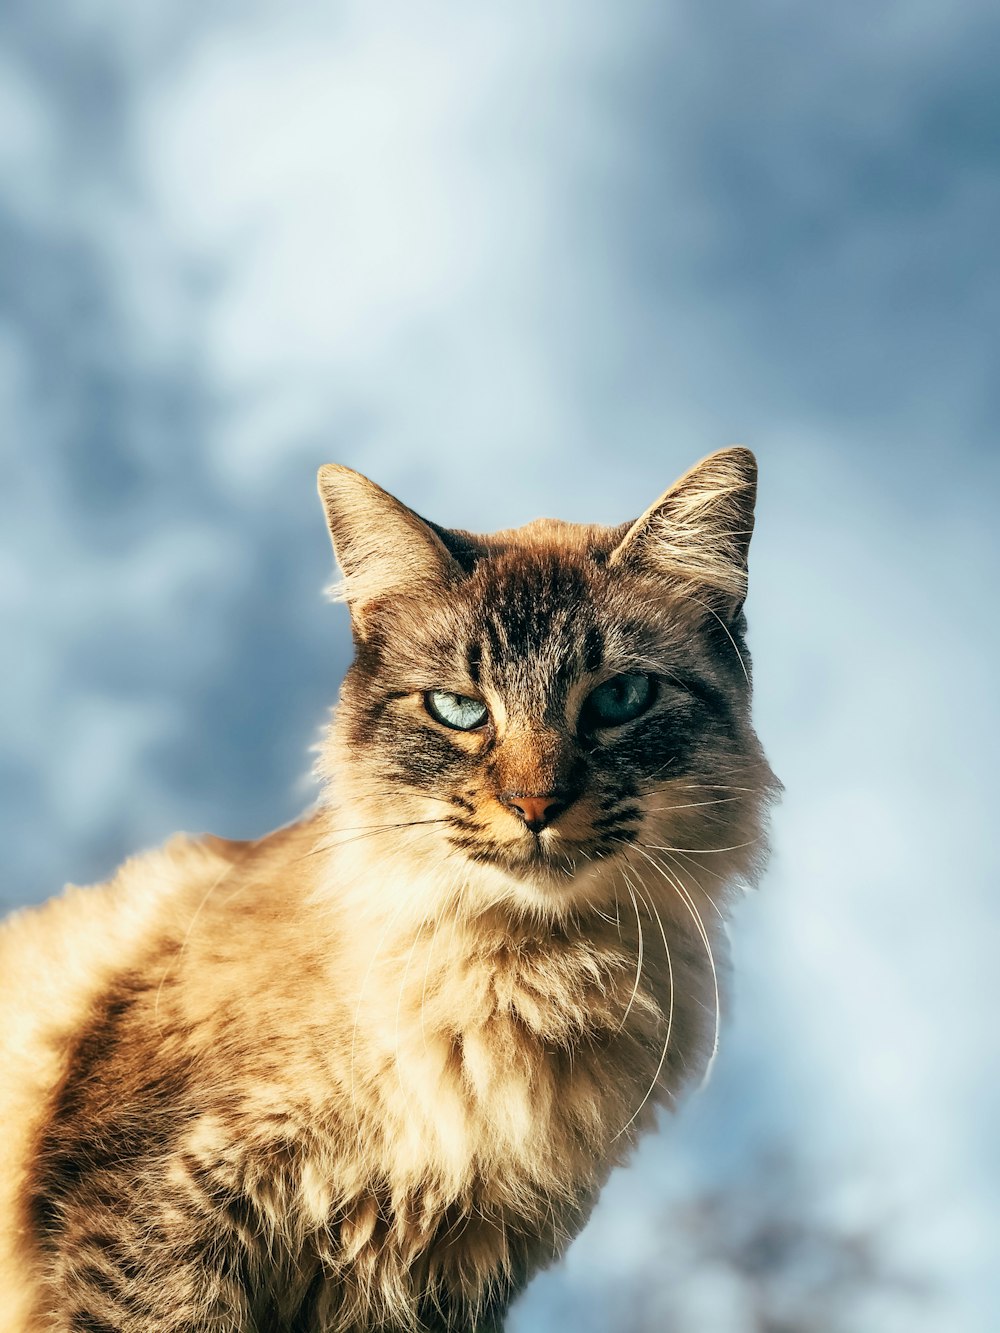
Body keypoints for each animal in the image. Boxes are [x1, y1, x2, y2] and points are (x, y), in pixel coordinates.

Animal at [0, 450, 784, 1333]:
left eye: (619, 699)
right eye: (460, 709)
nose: (535, 806)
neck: (517, 984)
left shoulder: (443, 1280)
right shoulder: (157, 1212)